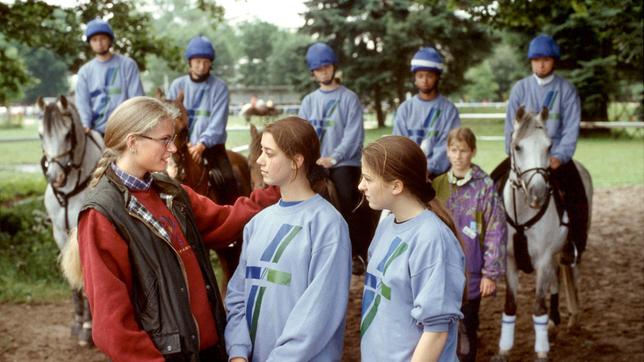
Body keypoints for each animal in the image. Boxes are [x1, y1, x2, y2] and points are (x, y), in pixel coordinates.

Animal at [36, 94, 103, 346]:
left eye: (67, 134)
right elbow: (74, 281)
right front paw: (77, 322)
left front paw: (87, 328)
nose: (55, 177)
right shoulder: (60, 234)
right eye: (41, 135)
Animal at [494, 106, 592, 360]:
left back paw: (573, 319)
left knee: (572, 276)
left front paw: (541, 352)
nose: (537, 194)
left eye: (549, 147)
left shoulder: (544, 259)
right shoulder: (510, 260)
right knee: (556, 280)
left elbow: (539, 306)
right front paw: (504, 349)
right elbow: (510, 305)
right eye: (518, 146)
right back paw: (554, 324)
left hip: (569, 251)